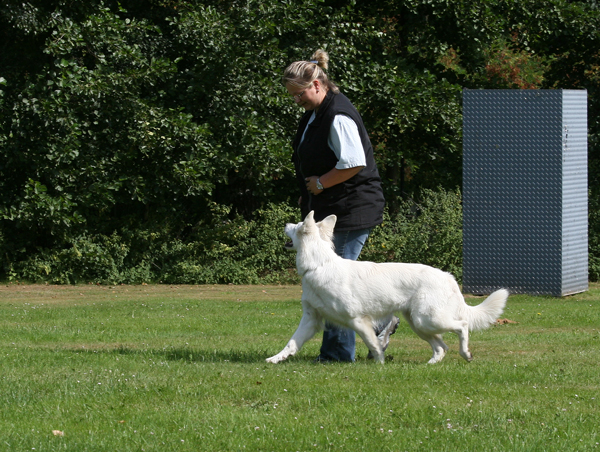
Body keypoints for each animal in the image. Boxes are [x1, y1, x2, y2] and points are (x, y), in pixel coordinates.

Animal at [266, 211, 508, 364]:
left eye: (297, 225)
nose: (285, 224)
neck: (319, 265)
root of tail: (448, 277)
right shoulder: (311, 319)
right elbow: (291, 343)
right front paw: (275, 359)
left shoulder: (358, 320)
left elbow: (373, 343)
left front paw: (380, 363)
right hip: (419, 324)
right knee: (441, 347)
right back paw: (431, 364)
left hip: (428, 320)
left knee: (462, 326)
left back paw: (466, 354)